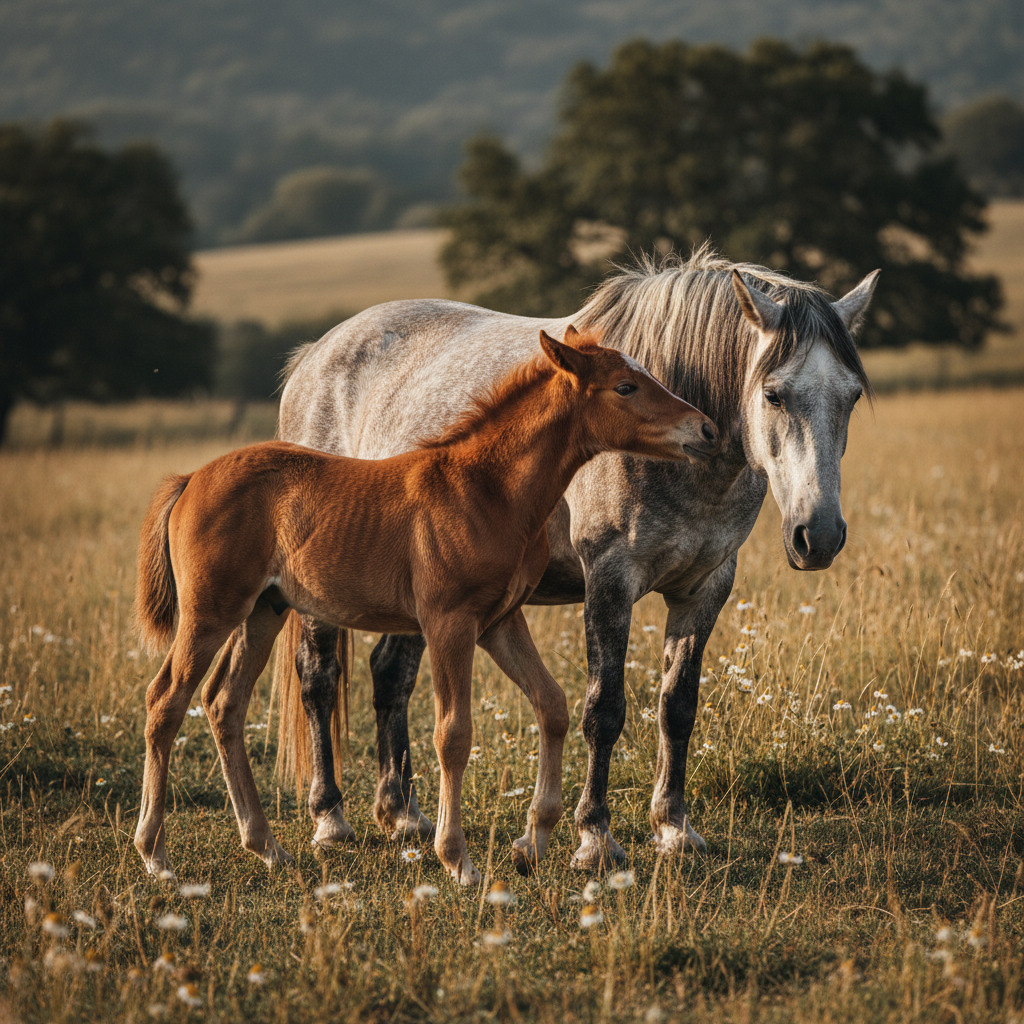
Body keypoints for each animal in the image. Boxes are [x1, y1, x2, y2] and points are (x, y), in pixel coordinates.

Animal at [132, 326, 718, 884]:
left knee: (223, 703)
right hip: (210, 613)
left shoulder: (501, 621)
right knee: (165, 701)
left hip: (263, 612)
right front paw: (457, 859)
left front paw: (534, 841)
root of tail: (189, 480)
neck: (486, 489)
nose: (707, 430)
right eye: (625, 387)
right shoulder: (448, 622)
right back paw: (155, 853)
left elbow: (551, 705)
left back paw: (267, 847)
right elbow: (453, 734)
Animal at [272, 247, 878, 872]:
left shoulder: (706, 585)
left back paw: (403, 815)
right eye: (773, 394)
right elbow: (604, 709)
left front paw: (674, 828)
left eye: (853, 395)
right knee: (318, 679)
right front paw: (594, 838)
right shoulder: (609, 578)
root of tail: (315, 354)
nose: (819, 535)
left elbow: (678, 707)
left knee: (391, 674)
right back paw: (329, 818)